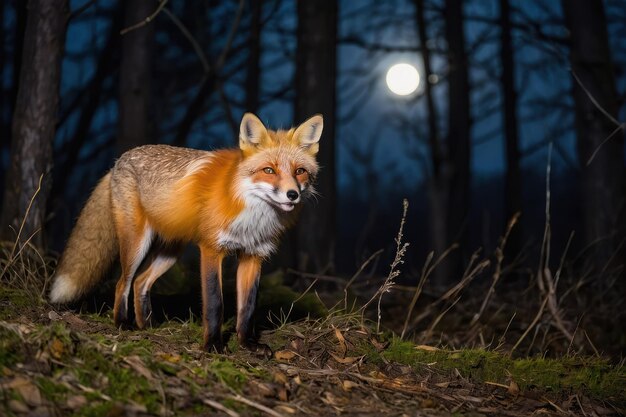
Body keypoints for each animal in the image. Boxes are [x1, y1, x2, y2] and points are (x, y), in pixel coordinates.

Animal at [48, 112, 322, 352]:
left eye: (300, 172)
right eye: (269, 170)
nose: (292, 194)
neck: (251, 215)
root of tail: (117, 162)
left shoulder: (253, 256)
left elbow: (248, 307)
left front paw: (247, 344)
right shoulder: (211, 250)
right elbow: (215, 303)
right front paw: (213, 346)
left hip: (170, 253)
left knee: (140, 282)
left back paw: (147, 325)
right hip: (136, 243)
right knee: (122, 283)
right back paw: (122, 324)